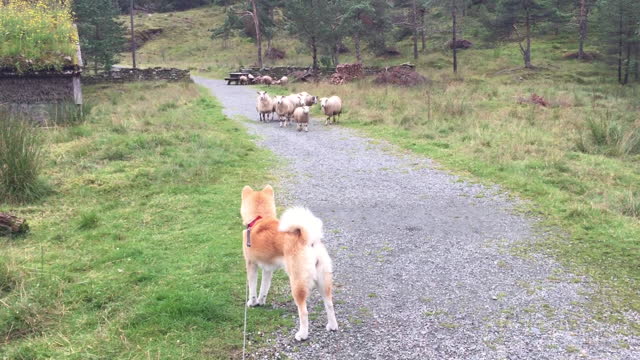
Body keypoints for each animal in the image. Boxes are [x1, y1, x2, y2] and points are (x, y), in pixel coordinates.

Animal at [241, 186, 340, 340]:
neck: (259, 219)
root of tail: (308, 240)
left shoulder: (251, 264)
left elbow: (252, 289)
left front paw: (252, 303)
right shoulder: (268, 269)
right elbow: (264, 288)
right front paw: (261, 301)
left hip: (297, 283)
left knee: (304, 311)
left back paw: (302, 334)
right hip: (324, 280)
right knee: (329, 304)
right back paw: (332, 326)